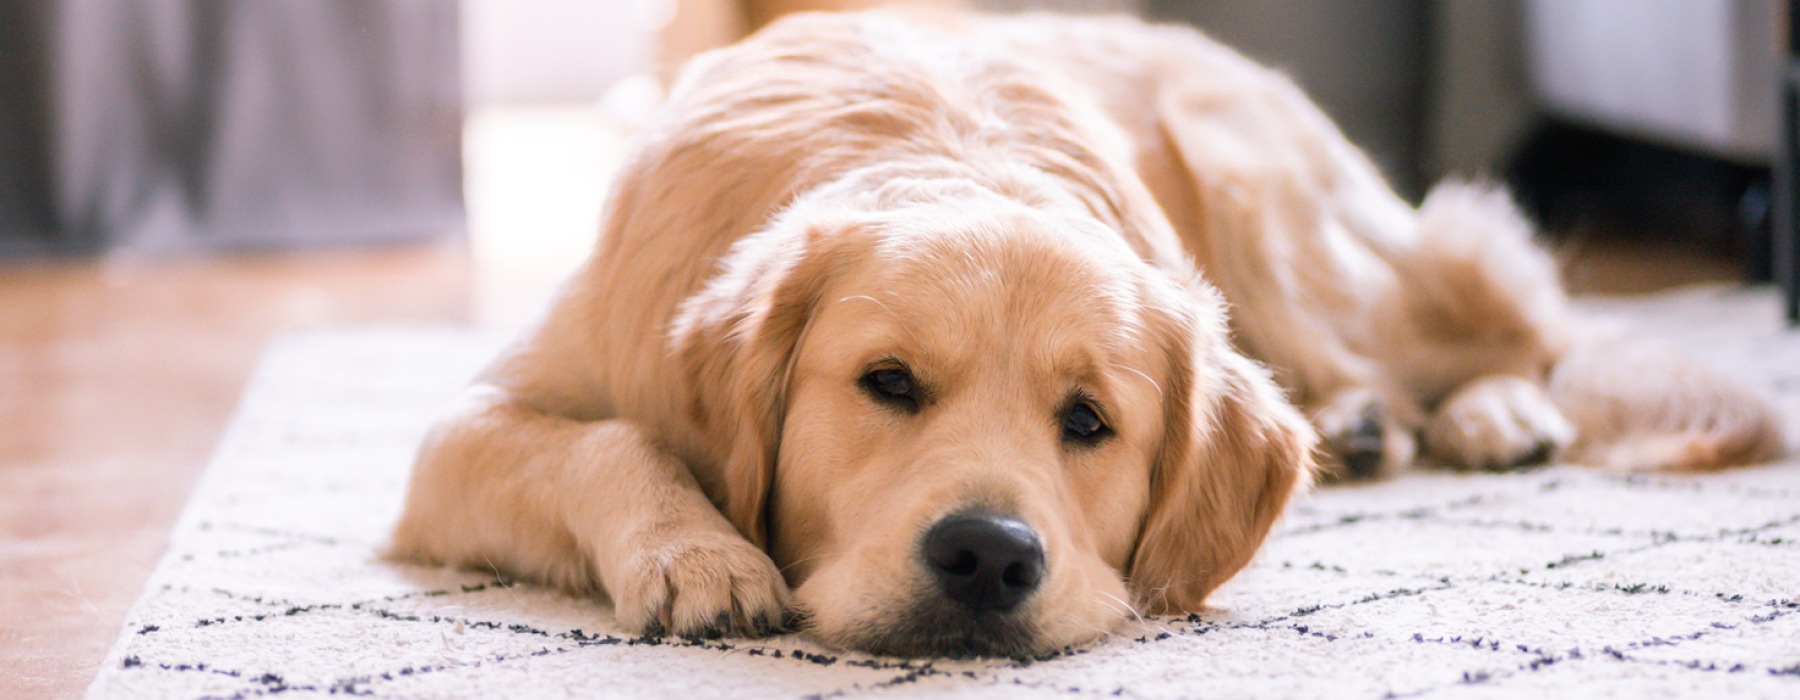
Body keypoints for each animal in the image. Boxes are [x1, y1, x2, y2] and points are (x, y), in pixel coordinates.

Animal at [387, 9, 1778, 655]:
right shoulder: (459, 434)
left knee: (1523, 322)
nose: (988, 557)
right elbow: (608, 441)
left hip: (1277, 217)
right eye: (886, 383)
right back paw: (1369, 426)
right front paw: (698, 552)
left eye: (1090, 421)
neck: (941, 145)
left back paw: (1490, 410)